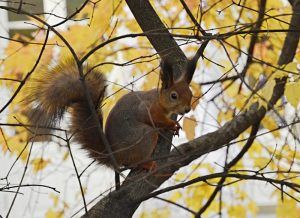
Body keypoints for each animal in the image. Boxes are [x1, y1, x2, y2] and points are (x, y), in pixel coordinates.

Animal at [27, 59, 193, 170]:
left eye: (190, 93)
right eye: (173, 96)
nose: (187, 109)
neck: (159, 100)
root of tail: (116, 156)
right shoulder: (147, 107)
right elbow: (152, 118)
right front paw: (172, 125)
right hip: (144, 137)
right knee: (135, 159)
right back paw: (146, 163)